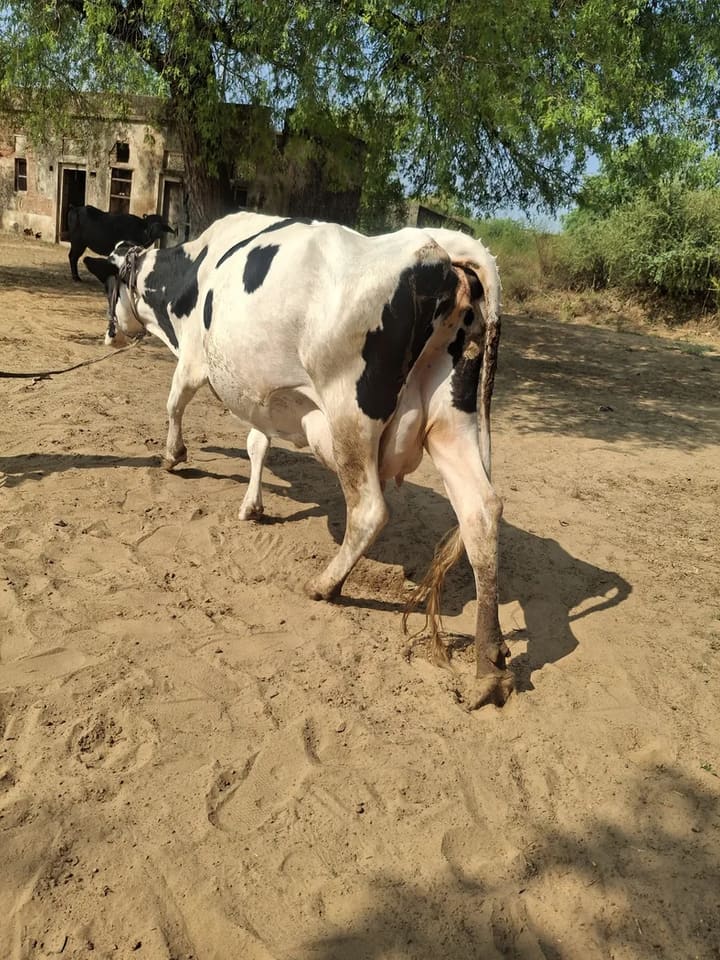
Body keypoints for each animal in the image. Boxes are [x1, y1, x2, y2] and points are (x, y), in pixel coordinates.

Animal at [84, 213, 513, 708]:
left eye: (109, 286)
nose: (108, 333)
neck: (193, 272)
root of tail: (438, 248)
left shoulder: (193, 360)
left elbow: (174, 404)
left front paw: (173, 457)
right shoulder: (260, 393)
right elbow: (257, 443)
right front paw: (252, 505)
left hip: (350, 414)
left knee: (370, 510)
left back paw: (325, 584)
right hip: (450, 422)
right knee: (481, 513)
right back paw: (489, 665)